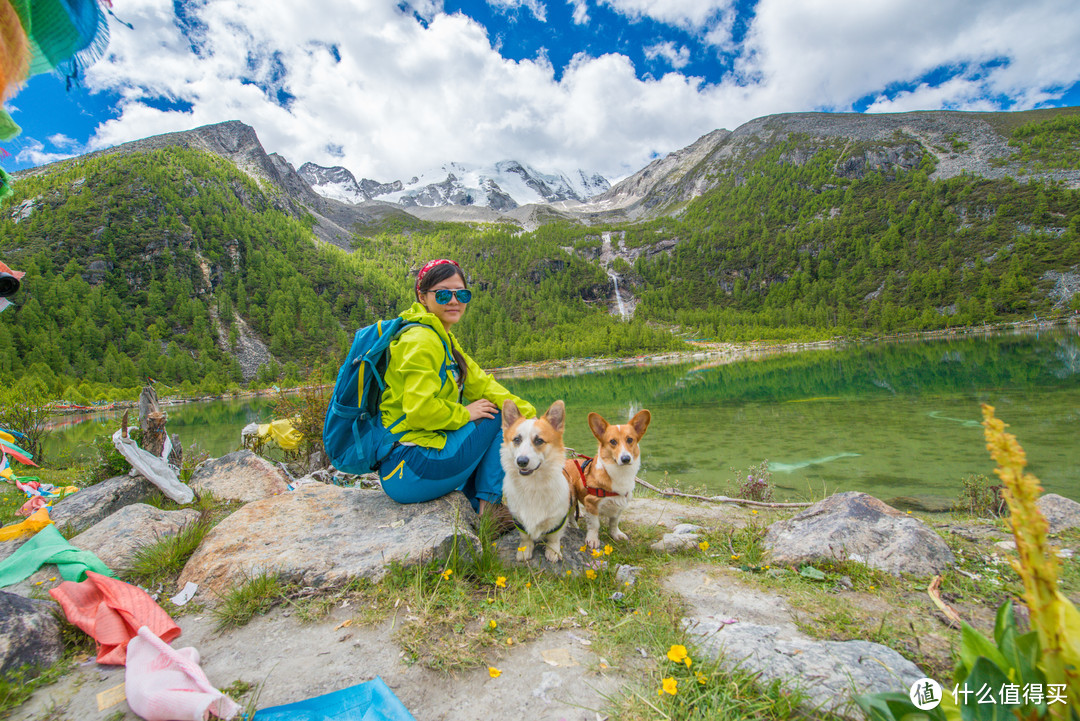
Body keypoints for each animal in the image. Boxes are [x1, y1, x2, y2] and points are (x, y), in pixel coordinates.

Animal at [501, 399, 574, 561]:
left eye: (539, 440)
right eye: (516, 439)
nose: (521, 461)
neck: (532, 484)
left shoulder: (558, 518)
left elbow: (554, 537)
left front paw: (553, 551)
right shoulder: (519, 519)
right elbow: (525, 537)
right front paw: (524, 550)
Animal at [565, 407, 648, 548]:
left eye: (630, 440)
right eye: (613, 441)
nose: (626, 459)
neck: (620, 473)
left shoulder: (620, 504)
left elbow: (614, 522)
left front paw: (616, 535)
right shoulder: (591, 503)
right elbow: (594, 525)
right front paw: (592, 540)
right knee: (570, 515)